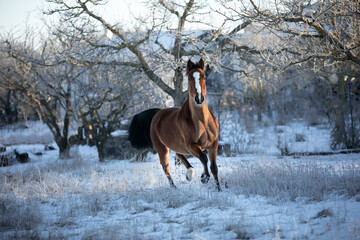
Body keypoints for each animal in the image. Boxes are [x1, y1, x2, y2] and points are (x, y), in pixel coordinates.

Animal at [128, 58, 221, 191]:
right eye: (189, 78)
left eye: (203, 76)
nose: (199, 99)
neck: (202, 122)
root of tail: (158, 113)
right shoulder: (191, 146)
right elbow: (203, 157)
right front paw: (204, 178)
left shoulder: (213, 144)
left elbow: (214, 168)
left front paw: (219, 189)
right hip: (162, 148)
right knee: (166, 167)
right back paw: (174, 186)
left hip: (174, 144)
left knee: (179, 154)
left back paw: (189, 173)